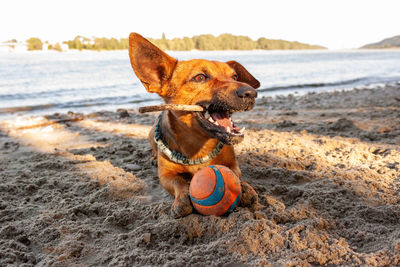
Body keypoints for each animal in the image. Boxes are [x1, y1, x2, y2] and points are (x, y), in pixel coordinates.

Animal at [128, 32, 260, 219]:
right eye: (200, 78)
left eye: (235, 77)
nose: (251, 93)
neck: (198, 146)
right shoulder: (166, 175)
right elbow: (179, 182)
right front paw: (182, 198)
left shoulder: (233, 164)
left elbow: (234, 173)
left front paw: (244, 186)